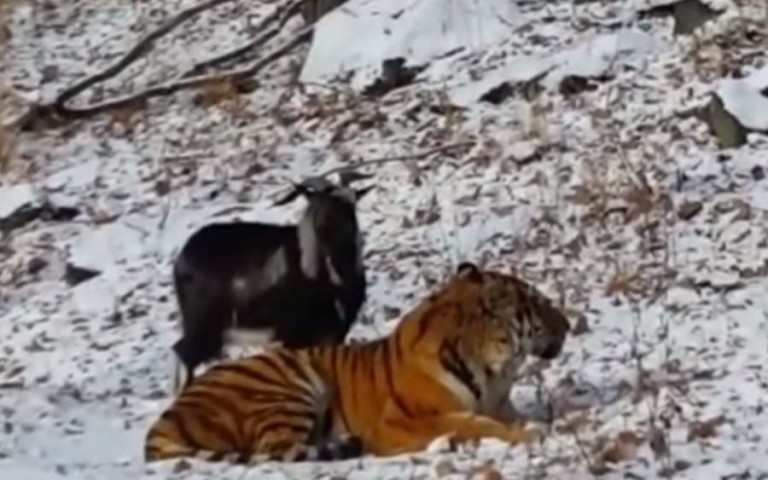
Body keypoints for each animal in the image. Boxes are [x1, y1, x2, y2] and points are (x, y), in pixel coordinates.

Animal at [144, 261, 571, 464]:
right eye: (538, 303)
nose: (569, 323)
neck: (493, 369)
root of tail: (164, 418)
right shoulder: (401, 421)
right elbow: (471, 424)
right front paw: (530, 435)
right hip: (287, 385)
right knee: (277, 446)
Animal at [170, 172, 373, 393]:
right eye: (324, 214)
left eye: (352, 210)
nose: (343, 260)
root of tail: (181, 260)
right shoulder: (294, 339)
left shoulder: (332, 337)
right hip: (204, 326)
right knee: (184, 353)